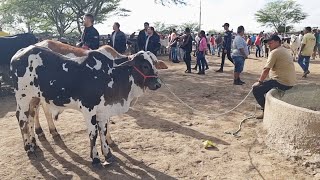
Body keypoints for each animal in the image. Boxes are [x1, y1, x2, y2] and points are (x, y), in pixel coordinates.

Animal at [10, 44, 168, 166]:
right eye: (145, 65)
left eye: (155, 64)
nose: (158, 84)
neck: (110, 74)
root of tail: (20, 52)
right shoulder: (88, 109)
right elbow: (93, 134)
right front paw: (96, 158)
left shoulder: (103, 110)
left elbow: (103, 131)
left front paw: (108, 154)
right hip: (23, 98)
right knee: (22, 120)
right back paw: (28, 148)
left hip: (34, 98)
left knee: (31, 116)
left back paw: (34, 143)